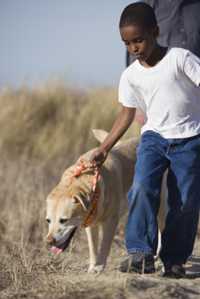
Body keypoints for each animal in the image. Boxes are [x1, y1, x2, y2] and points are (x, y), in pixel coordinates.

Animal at [46, 130, 166, 274]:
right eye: (48, 220)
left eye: (63, 220)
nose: (49, 241)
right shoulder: (90, 223)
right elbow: (93, 248)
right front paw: (92, 267)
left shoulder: (111, 221)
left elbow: (104, 246)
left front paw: (99, 267)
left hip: (161, 204)